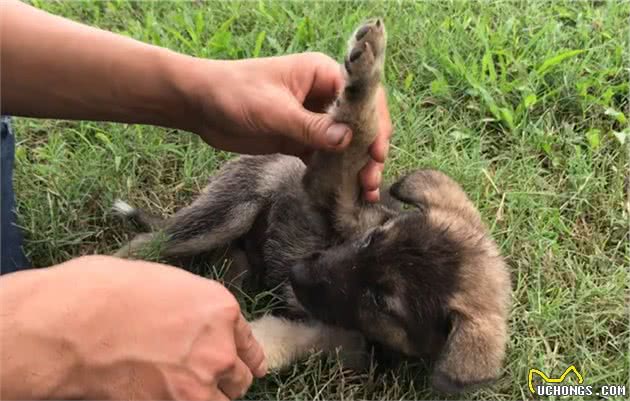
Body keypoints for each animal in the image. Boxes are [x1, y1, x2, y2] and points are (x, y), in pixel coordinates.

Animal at [113, 19, 512, 394]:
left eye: (381, 302)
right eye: (373, 238)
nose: (295, 273)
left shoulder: (328, 335)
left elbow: (266, 345)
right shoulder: (334, 191)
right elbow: (358, 134)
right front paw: (368, 64)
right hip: (230, 210)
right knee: (146, 245)